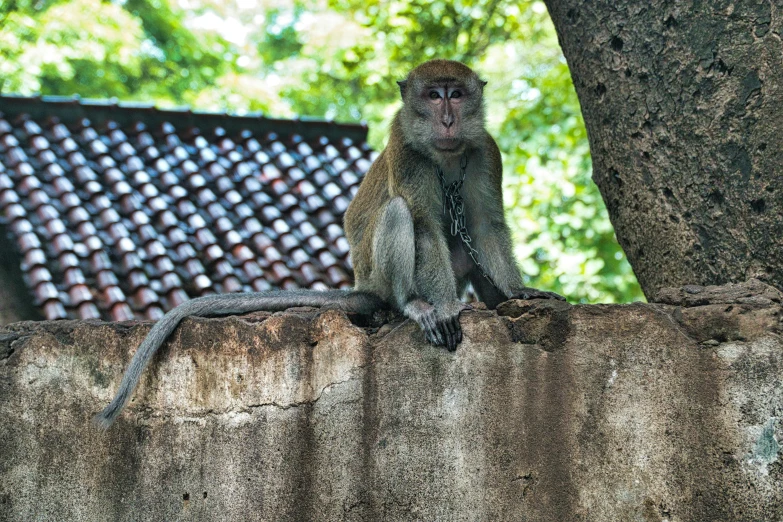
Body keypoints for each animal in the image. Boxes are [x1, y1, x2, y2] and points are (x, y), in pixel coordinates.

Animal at [95, 61, 564, 426]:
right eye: (433, 96)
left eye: (456, 95)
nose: (447, 119)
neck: (445, 152)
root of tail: (363, 285)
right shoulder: (406, 150)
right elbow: (424, 224)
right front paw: (447, 306)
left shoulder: (485, 152)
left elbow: (485, 226)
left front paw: (519, 291)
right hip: (379, 277)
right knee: (398, 212)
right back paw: (412, 304)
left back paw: (494, 297)